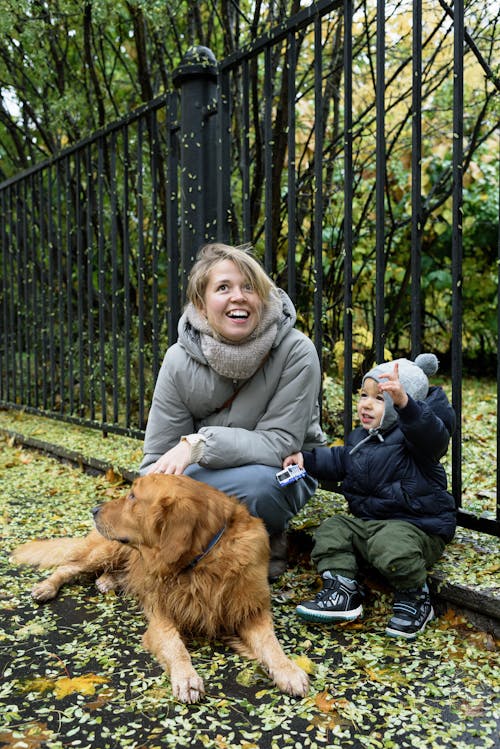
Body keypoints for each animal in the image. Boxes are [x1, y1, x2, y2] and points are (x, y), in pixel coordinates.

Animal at [10, 474, 308, 700]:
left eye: (132, 497)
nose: (94, 510)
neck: (204, 561)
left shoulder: (251, 610)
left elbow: (271, 644)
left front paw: (289, 670)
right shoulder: (162, 614)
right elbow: (175, 646)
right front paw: (186, 677)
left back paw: (108, 581)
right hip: (104, 551)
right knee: (68, 567)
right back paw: (46, 587)